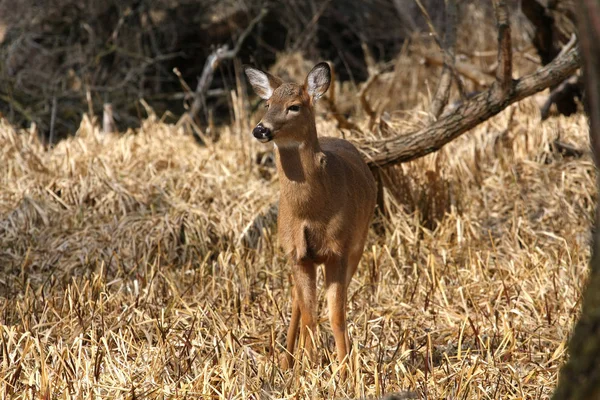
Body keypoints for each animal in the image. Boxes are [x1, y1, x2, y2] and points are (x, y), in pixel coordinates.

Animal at [244, 62, 376, 372]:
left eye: (294, 106)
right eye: (267, 103)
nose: (260, 129)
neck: (310, 211)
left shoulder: (339, 250)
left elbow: (336, 315)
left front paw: (344, 371)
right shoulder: (296, 253)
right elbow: (308, 314)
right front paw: (309, 366)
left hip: (358, 244)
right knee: (299, 305)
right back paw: (288, 359)